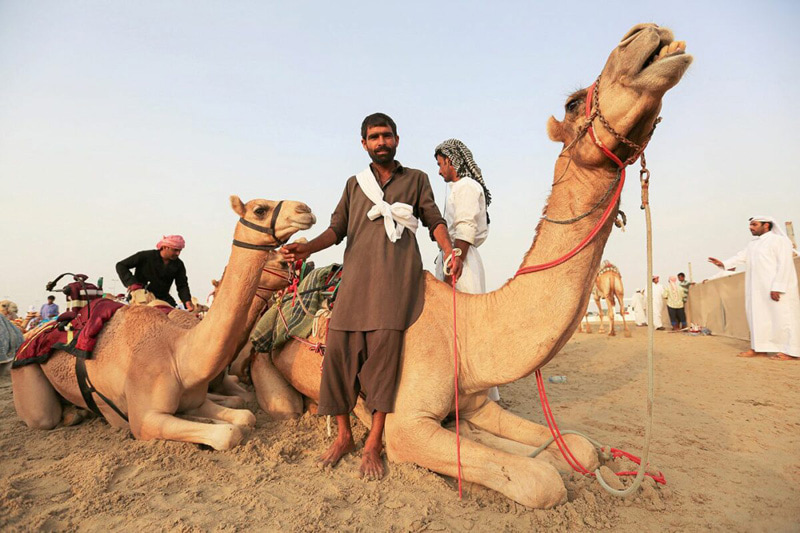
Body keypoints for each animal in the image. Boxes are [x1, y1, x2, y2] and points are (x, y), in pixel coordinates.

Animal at [11, 196, 315, 450]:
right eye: (260, 209)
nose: (305, 209)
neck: (178, 353)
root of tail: (29, 335)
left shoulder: (198, 399)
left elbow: (245, 415)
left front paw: (212, 420)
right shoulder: (144, 419)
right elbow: (229, 433)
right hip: (26, 380)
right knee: (43, 417)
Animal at [256, 23, 691, 508]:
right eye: (573, 103)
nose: (648, 34)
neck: (464, 331)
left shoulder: (477, 405)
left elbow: (577, 446)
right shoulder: (408, 426)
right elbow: (539, 479)